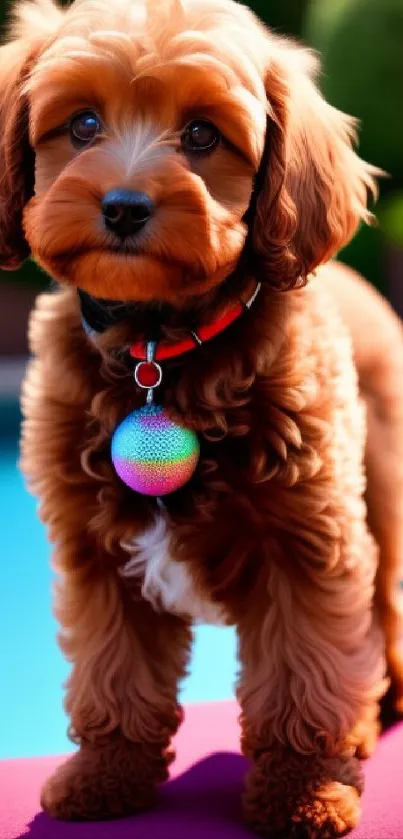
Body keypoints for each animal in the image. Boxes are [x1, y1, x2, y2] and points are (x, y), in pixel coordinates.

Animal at [0, 0, 403, 836]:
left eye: (201, 135)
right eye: (82, 124)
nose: (123, 206)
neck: (160, 348)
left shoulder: (306, 543)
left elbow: (304, 673)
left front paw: (302, 791)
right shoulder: (93, 553)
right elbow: (113, 671)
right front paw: (105, 774)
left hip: (380, 493)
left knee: (376, 623)